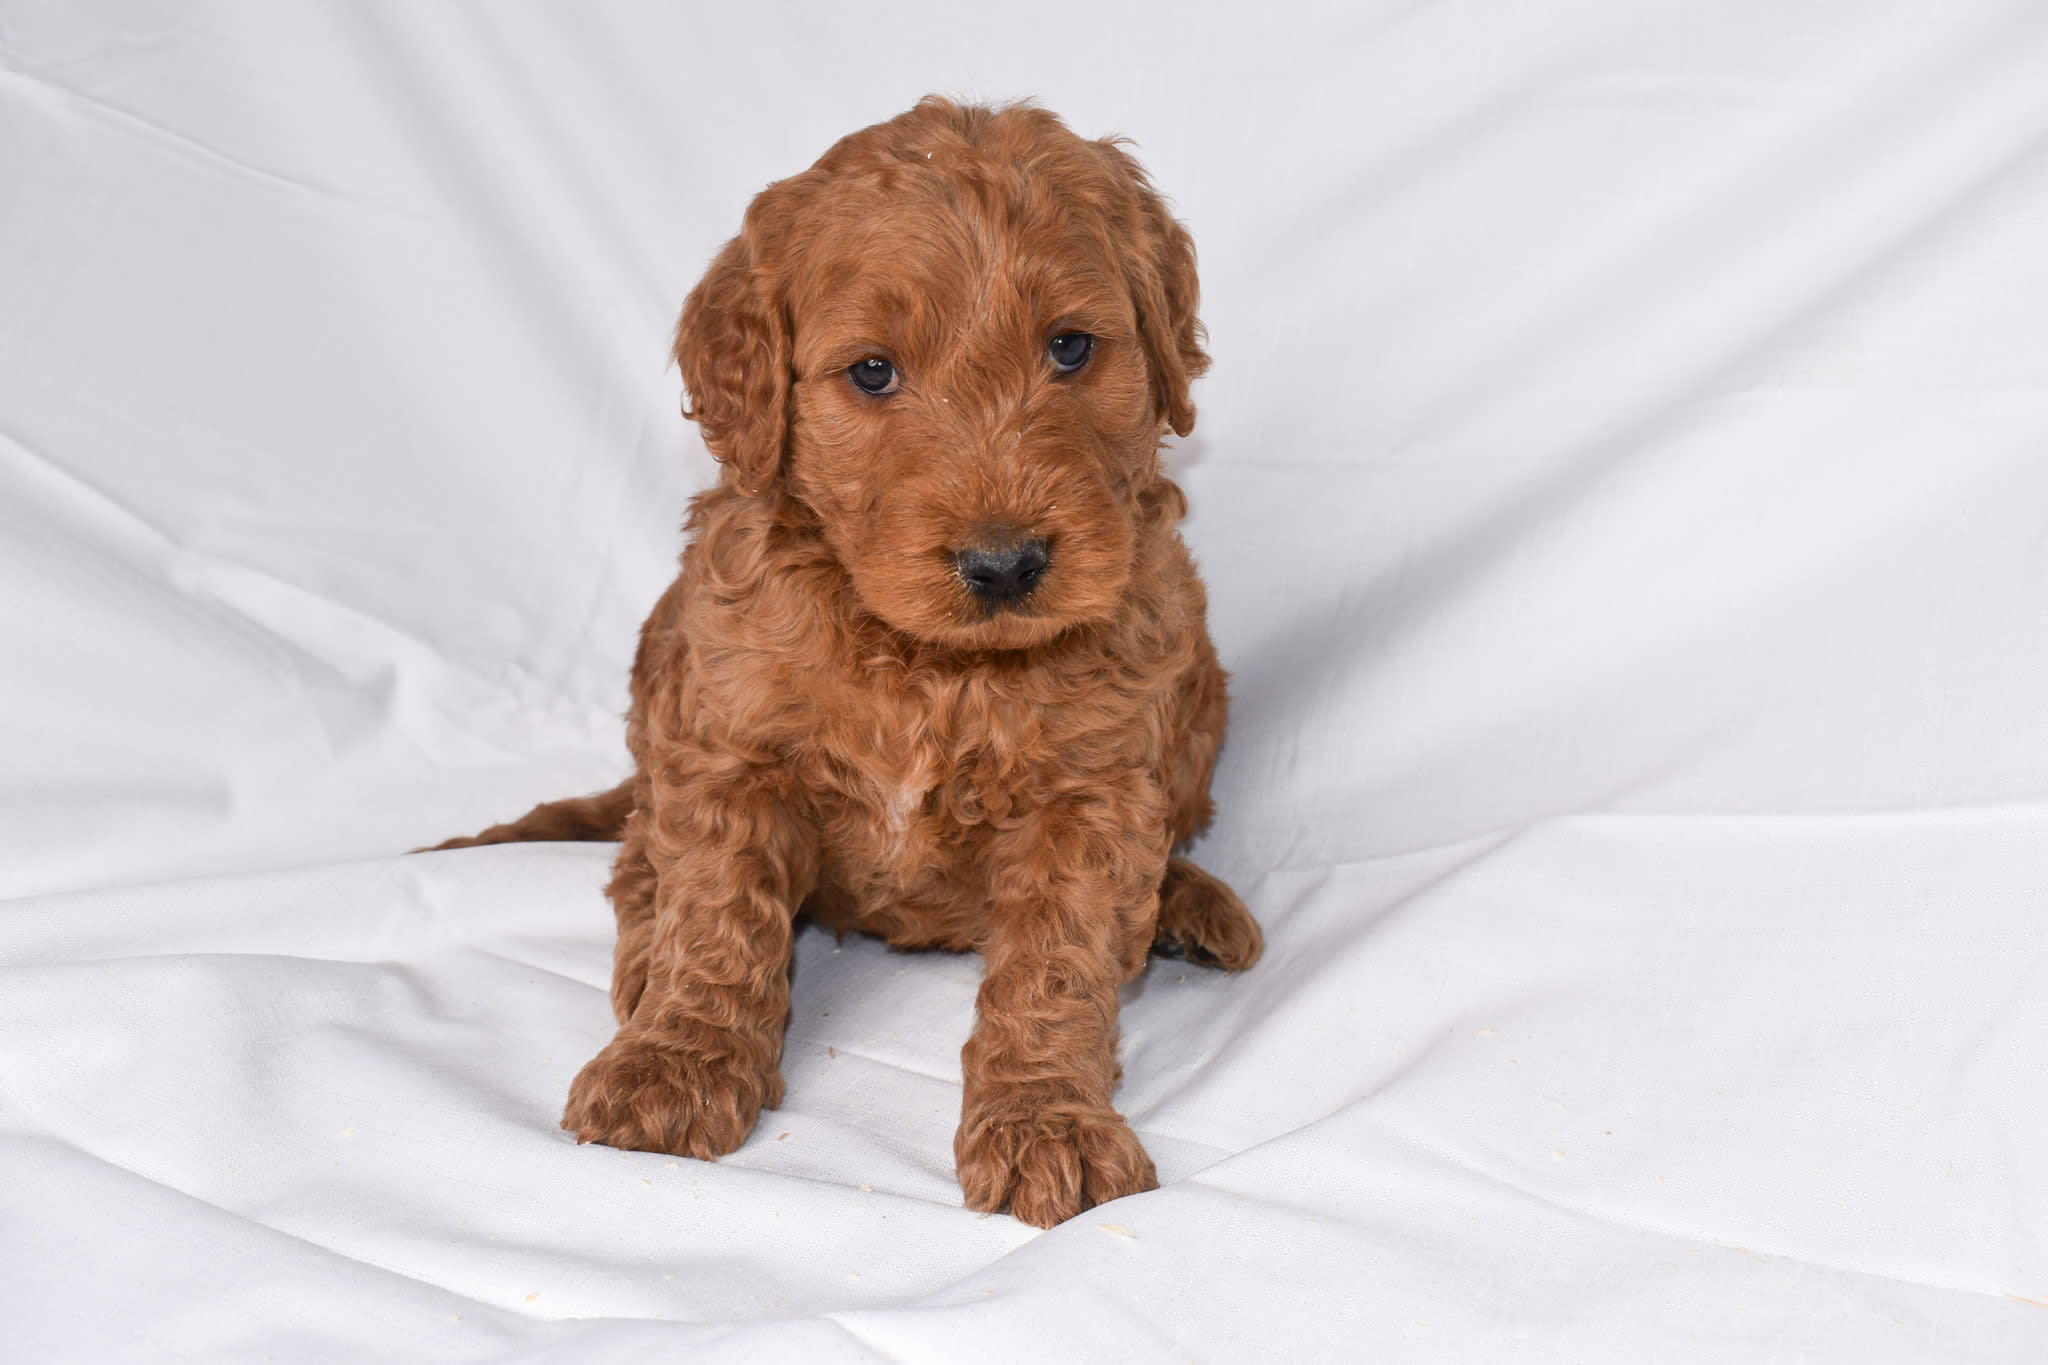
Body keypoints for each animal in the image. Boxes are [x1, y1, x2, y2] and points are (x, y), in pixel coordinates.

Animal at [440, 98, 1253, 1227]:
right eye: (872, 371)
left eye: (1071, 348)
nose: (1004, 565)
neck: (931, 661)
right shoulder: (728, 737)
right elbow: (718, 914)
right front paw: (677, 1060)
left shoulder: (1092, 789)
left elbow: (1058, 962)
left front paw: (1047, 1120)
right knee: (639, 857)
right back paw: (642, 971)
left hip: (1197, 680)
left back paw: (1191, 904)